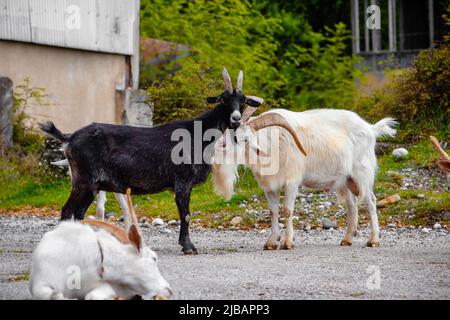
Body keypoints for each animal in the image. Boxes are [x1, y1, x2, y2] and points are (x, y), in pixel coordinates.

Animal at [212, 109, 398, 249]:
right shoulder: (270, 186)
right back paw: (347, 239)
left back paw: (373, 240)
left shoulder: (291, 182)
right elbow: (273, 211)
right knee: (352, 205)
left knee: (371, 201)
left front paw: (287, 243)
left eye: (243, 139)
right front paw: (271, 242)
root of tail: (370, 129)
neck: (273, 144)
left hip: (362, 174)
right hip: (345, 180)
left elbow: (287, 210)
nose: (220, 146)